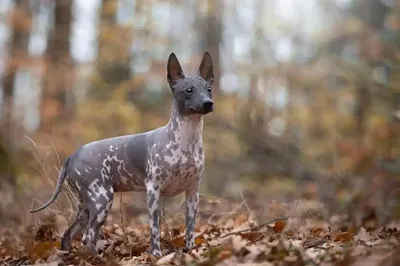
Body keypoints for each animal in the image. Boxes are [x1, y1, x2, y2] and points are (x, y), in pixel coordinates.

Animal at [30, 51, 216, 256]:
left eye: (208, 89)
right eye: (189, 90)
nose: (208, 103)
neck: (185, 141)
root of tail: (72, 155)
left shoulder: (192, 193)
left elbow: (190, 229)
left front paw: (191, 251)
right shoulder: (153, 192)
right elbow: (154, 229)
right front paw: (156, 255)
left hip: (86, 205)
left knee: (68, 235)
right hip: (102, 199)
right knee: (88, 236)